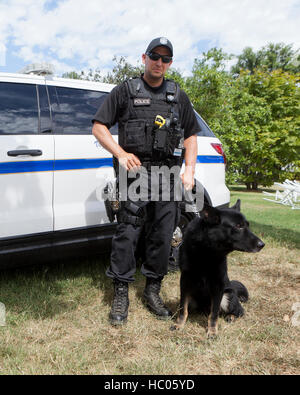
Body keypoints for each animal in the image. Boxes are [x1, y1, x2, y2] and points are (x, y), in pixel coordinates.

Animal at [171, 200, 264, 338]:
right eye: (238, 226)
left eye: (247, 225)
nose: (262, 245)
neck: (207, 251)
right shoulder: (185, 282)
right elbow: (183, 308)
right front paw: (179, 324)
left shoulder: (218, 286)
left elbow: (214, 314)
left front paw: (212, 330)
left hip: (227, 296)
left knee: (240, 311)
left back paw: (231, 316)